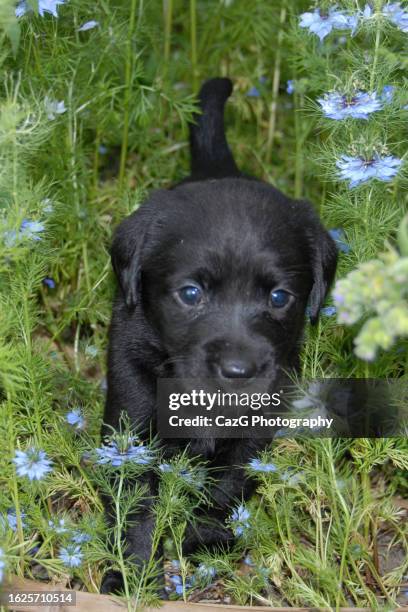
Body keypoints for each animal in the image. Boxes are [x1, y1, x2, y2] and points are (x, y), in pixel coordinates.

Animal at [102, 77, 338, 592]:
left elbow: (227, 488)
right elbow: (135, 502)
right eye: (190, 294)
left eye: (279, 297)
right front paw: (131, 574)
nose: (239, 370)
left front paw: (200, 539)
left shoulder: (255, 431)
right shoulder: (132, 412)